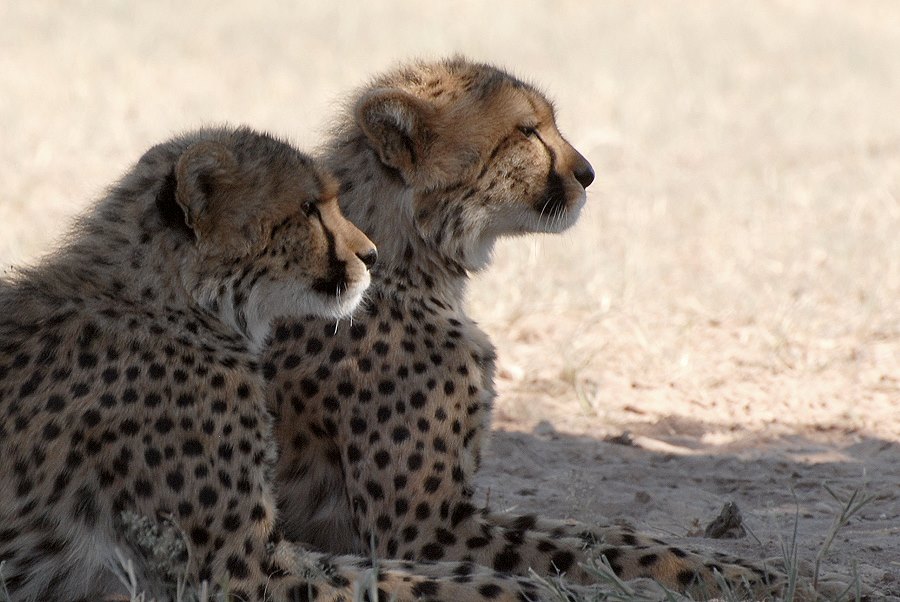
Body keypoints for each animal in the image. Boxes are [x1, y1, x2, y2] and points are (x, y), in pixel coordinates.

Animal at [0, 126, 556, 600]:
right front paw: (537, 589)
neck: (178, 303)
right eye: (309, 208)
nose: (370, 255)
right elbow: (408, 579)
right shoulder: (242, 571)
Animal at [264, 57, 840, 600]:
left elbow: (607, 536)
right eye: (527, 131)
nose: (587, 173)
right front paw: (743, 580)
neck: (410, 262)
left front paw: (761, 571)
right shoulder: (421, 531)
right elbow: (584, 551)